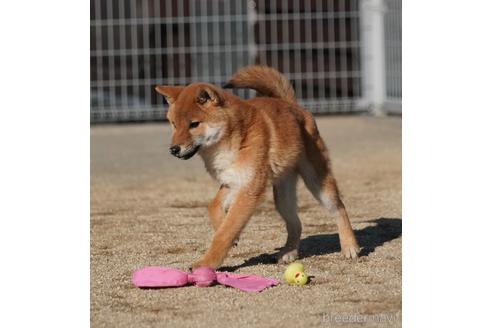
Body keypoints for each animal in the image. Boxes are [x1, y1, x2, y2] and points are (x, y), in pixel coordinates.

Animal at [156, 64, 360, 270]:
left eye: (194, 124)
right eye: (174, 124)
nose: (174, 149)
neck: (232, 140)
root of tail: (291, 105)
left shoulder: (249, 190)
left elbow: (225, 233)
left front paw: (207, 263)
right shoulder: (233, 182)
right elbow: (213, 207)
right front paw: (229, 232)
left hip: (317, 182)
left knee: (339, 208)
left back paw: (350, 247)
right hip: (283, 197)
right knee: (296, 224)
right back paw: (289, 252)